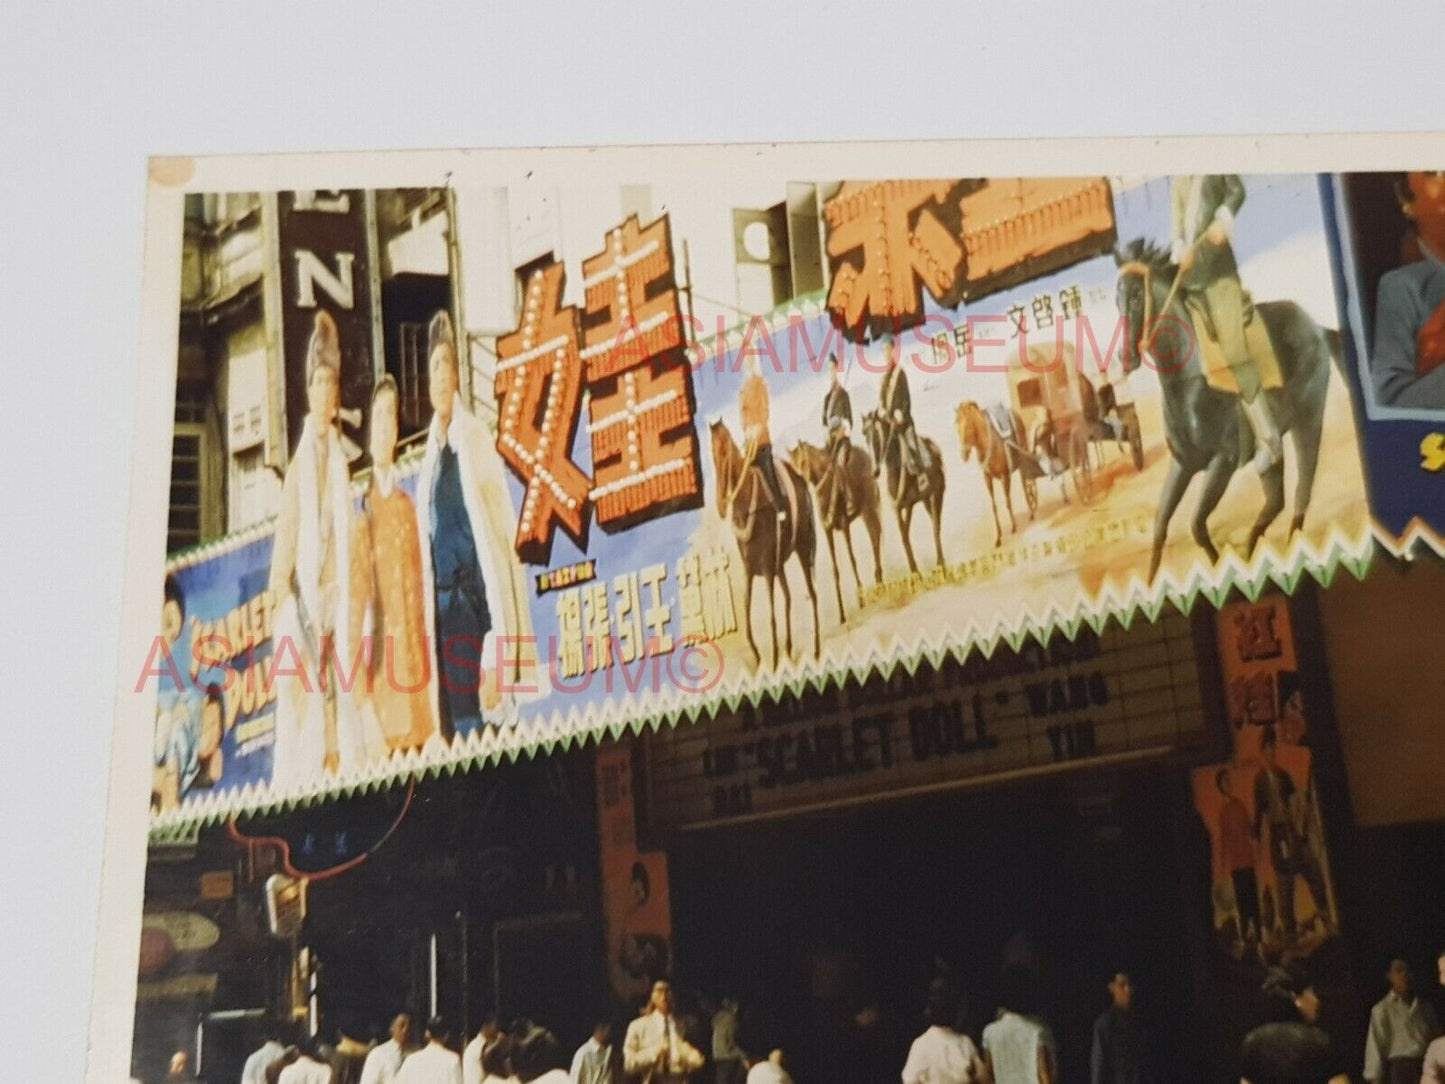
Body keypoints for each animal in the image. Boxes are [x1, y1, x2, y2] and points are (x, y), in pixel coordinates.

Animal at [708, 422, 820, 670]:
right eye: (711, 455)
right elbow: (747, 610)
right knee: (788, 597)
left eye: (724, 451)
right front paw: (759, 656)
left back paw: (816, 649)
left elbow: (770, 615)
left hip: (801, 549)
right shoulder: (750, 571)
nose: (720, 505)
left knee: (811, 592)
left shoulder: (767, 570)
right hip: (780, 566)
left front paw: (775, 659)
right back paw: (789, 648)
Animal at [791, 442, 878, 627]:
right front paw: (842, 614)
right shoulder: (828, 531)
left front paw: (861, 600)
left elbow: (852, 559)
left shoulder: (845, 525)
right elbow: (835, 569)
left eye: (803, 462)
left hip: (869, 506)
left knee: (875, 536)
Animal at [855, 407, 947, 578]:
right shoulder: (898, 507)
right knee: (933, 522)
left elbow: (907, 533)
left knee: (936, 525)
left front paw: (916, 572)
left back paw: (940, 564)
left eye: (877, 434)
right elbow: (904, 535)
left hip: (936, 495)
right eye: (865, 435)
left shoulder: (908, 505)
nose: (875, 471)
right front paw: (914, 572)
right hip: (923, 501)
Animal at [953, 401, 1034, 546]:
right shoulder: (987, 478)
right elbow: (993, 506)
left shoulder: (1004, 476)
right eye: (957, 427)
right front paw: (998, 536)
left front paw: (1014, 526)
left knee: (1025, 483)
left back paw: (1031, 511)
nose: (964, 455)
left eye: (968, 427)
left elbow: (1007, 500)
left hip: (1022, 457)